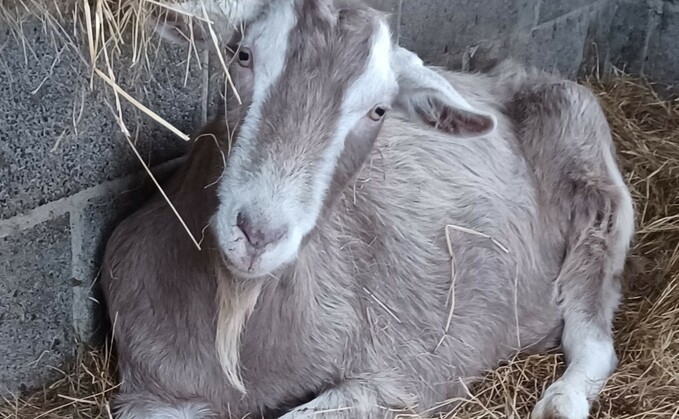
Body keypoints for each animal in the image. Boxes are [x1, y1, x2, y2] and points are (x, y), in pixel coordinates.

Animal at [102, 1, 636, 418]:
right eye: (243, 55)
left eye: (379, 110)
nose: (258, 233)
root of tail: (510, 76)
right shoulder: (150, 388)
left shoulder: (406, 373)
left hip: (598, 193)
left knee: (592, 335)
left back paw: (562, 401)